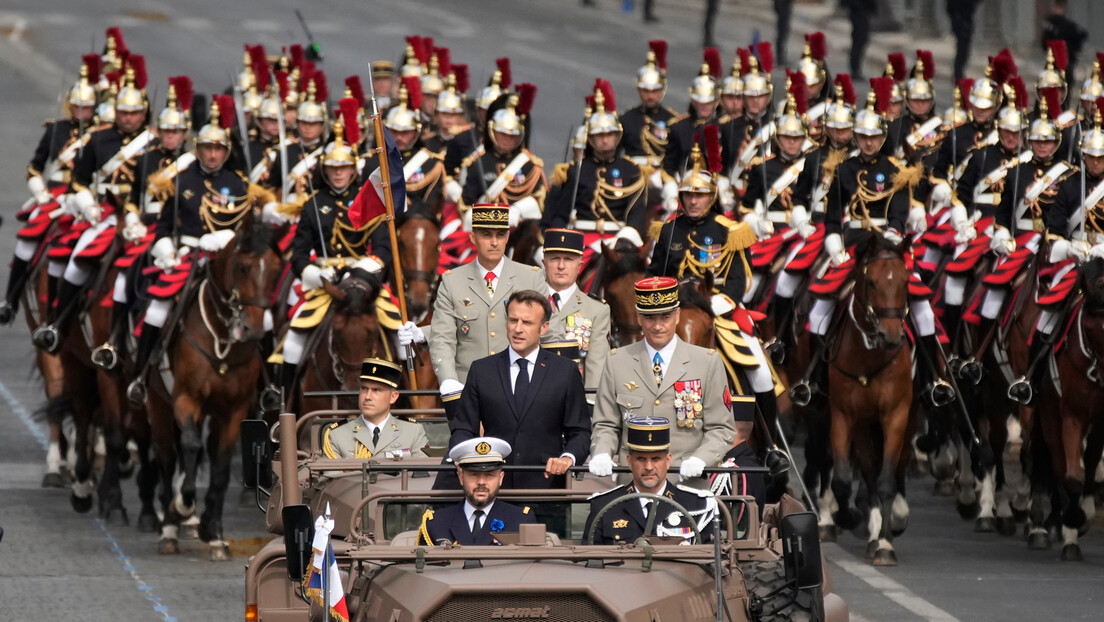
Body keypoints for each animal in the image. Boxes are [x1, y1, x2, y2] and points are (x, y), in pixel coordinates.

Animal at [146, 218, 284, 559]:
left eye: (276, 270)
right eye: (244, 268)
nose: (253, 329)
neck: (221, 338)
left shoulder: (234, 410)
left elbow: (220, 468)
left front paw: (215, 533)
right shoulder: (185, 399)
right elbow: (189, 447)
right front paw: (183, 505)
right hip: (158, 403)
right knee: (168, 457)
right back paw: (170, 527)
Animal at [830, 232, 914, 565]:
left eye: (905, 281)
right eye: (872, 282)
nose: (891, 336)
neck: (867, 357)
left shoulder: (897, 415)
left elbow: (887, 479)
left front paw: (886, 545)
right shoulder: (844, 415)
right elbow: (843, 479)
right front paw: (849, 517)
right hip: (864, 426)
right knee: (867, 471)